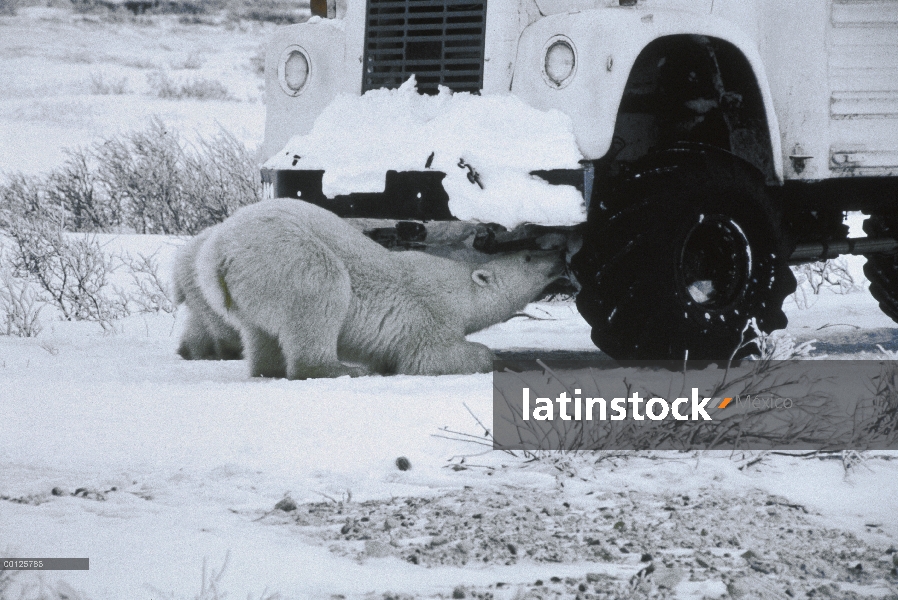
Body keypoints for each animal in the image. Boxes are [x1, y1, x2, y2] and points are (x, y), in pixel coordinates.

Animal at [195, 202, 564, 380]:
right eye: (529, 256)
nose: (558, 254)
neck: (460, 290)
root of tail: (218, 254)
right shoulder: (429, 316)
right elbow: (429, 358)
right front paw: (489, 358)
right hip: (286, 254)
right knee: (322, 292)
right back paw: (342, 369)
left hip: (247, 289)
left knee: (259, 333)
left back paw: (268, 368)